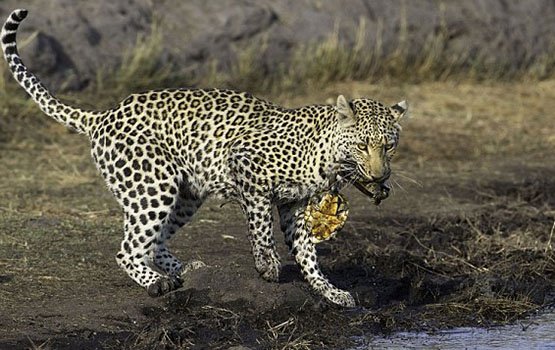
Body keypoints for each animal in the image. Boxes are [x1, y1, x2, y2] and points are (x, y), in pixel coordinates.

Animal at [0, 9, 408, 308]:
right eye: (363, 146)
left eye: (388, 146)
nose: (380, 177)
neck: (326, 157)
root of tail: (101, 116)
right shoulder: (248, 169)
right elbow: (261, 225)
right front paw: (267, 264)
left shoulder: (295, 205)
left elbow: (307, 254)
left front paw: (329, 291)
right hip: (154, 186)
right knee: (127, 249)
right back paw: (157, 283)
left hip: (185, 195)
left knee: (154, 241)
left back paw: (184, 270)